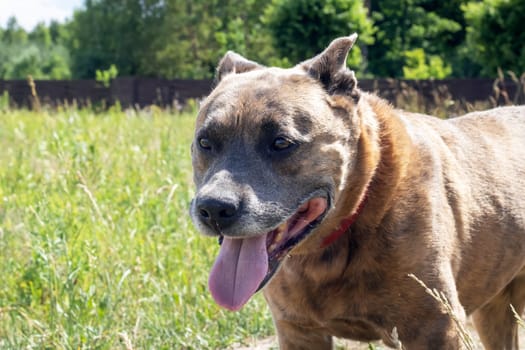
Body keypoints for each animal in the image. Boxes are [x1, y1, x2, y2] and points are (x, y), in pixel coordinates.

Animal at [190, 33, 524, 350]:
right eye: (204, 142)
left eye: (281, 142)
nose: (214, 208)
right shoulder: (299, 331)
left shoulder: (436, 331)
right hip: (495, 311)